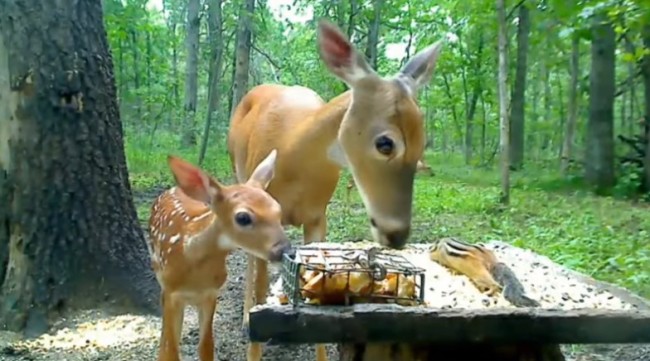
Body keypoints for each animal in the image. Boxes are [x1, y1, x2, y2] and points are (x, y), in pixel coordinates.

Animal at [147, 150, 292, 360]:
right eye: (243, 217)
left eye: (278, 210)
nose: (286, 251)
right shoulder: (171, 292)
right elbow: (171, 350)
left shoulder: (211, 293)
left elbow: (206, 347)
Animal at [225, 19, 442, 360]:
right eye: (385, 143)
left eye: (423, 145)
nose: (397, 234)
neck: (292, 157)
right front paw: (252, 328)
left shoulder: (318, 217)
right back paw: (246, 315)